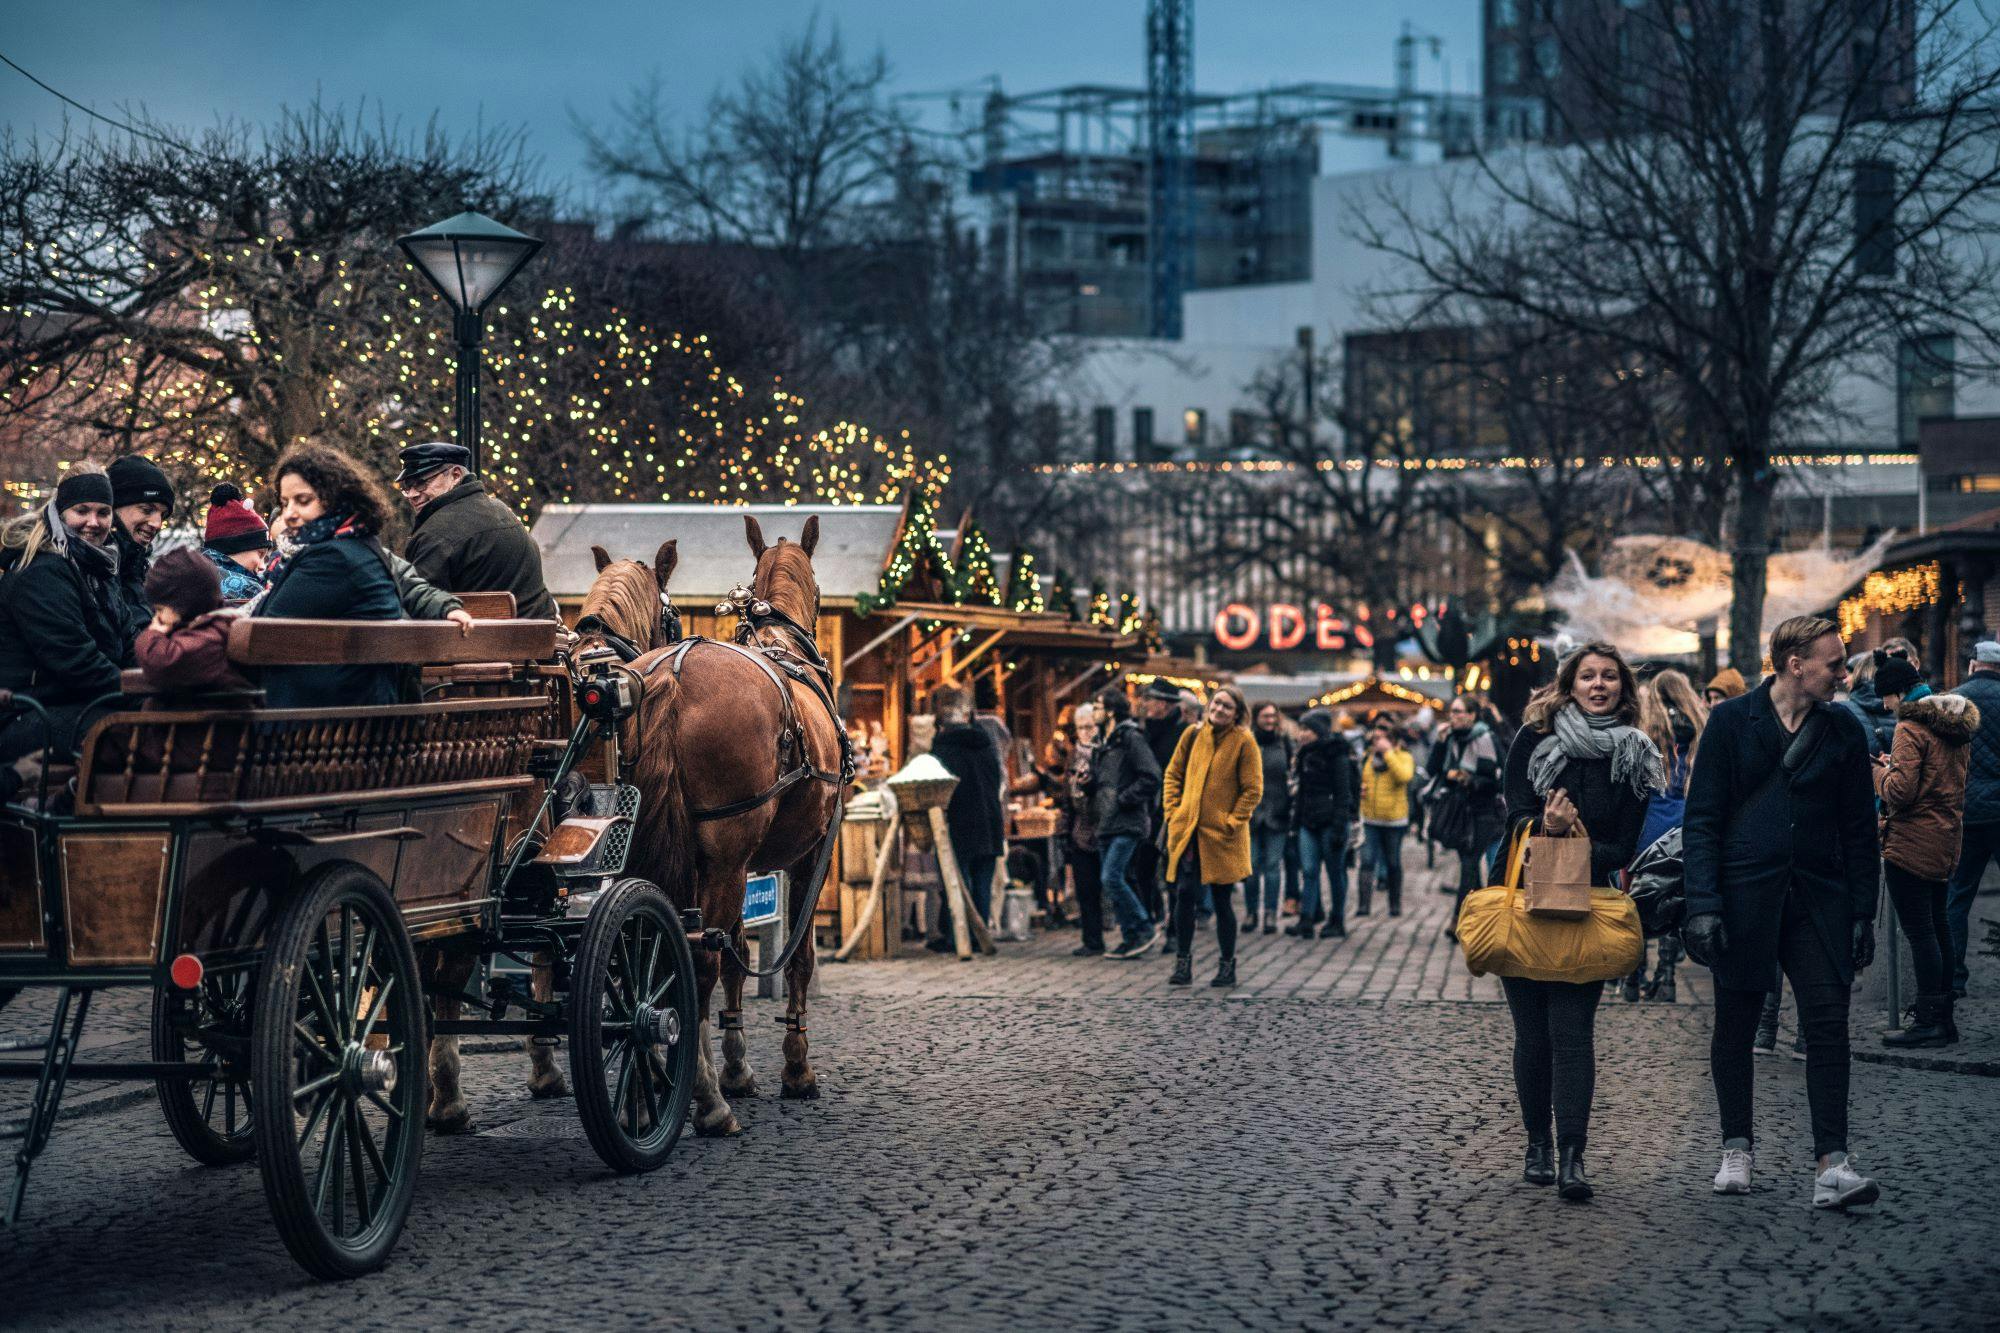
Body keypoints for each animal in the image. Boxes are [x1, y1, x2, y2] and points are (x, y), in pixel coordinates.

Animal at [576, 520, 840, 1128]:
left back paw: (648, 1085)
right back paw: (706, 1101)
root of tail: (674, 676)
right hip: (725, 860)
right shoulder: (809, 853)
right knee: (699, 961)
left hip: (658, 849)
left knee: (654, 956)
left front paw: (737, 1065)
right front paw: (795, 1069)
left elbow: (737, 956)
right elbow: (796, 959)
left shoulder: (737, 863)